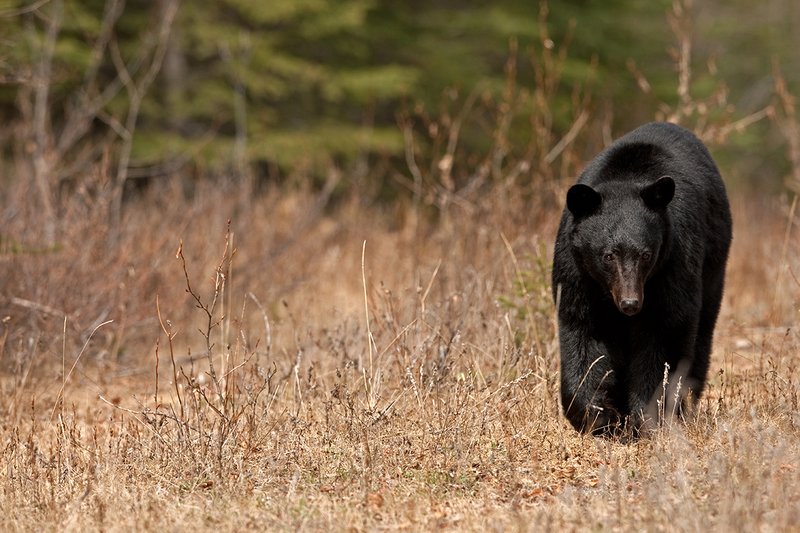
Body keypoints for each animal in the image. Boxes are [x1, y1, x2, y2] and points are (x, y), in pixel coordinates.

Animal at [551, 121, 732, 437]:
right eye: (608, 255)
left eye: (646, 255)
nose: (630, 303)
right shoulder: (576, 270)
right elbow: (582, 331)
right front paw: (597, 415)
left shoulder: (674, 261)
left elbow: (666, 331)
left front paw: (647, 416)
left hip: (713, 266)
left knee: (701, 334)